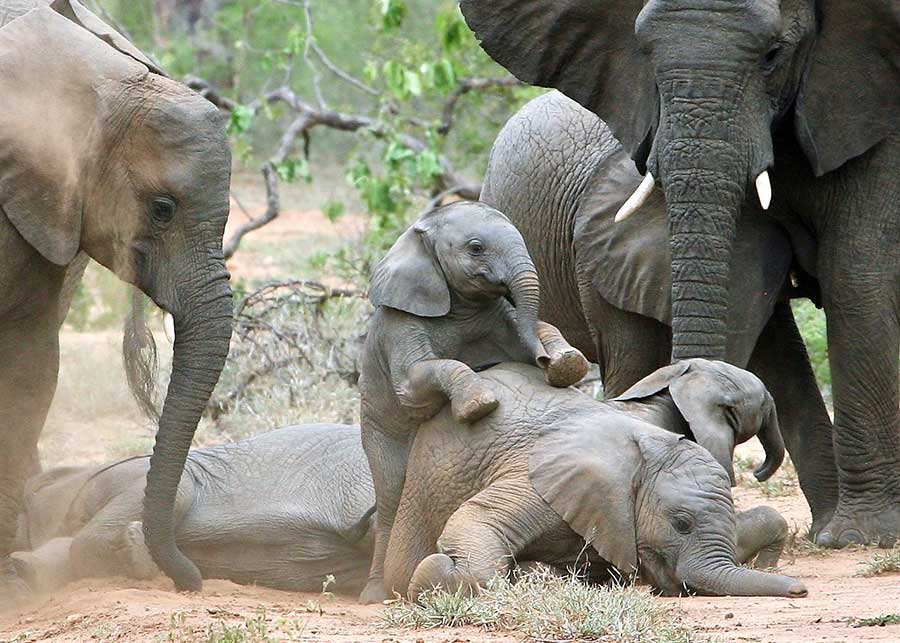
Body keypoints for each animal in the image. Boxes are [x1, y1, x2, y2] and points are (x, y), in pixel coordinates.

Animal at [358, 201, 592, 604]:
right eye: (476, 248)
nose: (544, 360)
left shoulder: (496, 314)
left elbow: (539, 331)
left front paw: (566, 364)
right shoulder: (401, 322)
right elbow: (413, 386)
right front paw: (479, 404)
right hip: (376, 432)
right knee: (390, 494)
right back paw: (376, 596)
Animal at [384, 364, 804, 600]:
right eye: (681, 524)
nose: (800, 590)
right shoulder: (546, 478)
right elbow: (477, 521)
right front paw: (442, 577)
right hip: (425, 478)